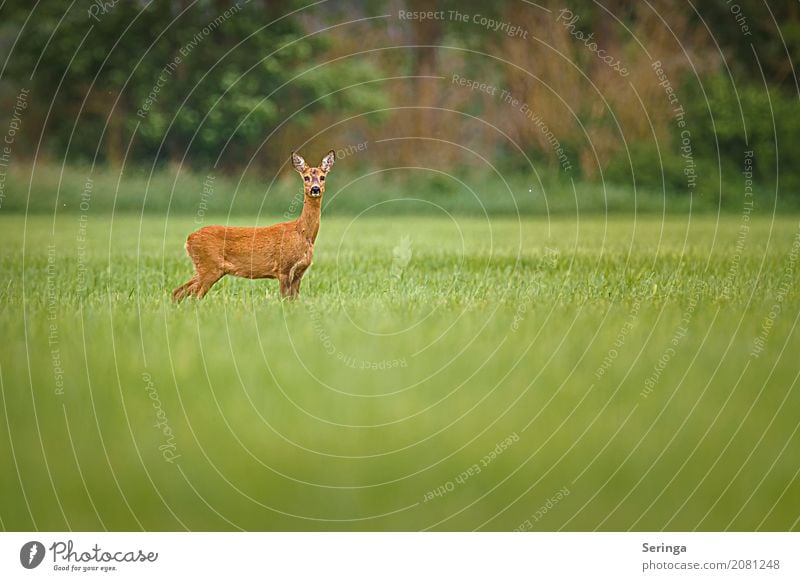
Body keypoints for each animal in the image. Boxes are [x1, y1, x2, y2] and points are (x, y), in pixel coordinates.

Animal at [173, 150, 336, 302]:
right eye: (306, 177)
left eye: (323, 177)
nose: (315, 189)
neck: (302, 233)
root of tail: (189, 239)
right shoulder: (283, 268)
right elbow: (284, 299)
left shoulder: (299, 273)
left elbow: (294, 300)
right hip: (209, 266)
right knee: (193, 296)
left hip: (205, 268)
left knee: (178, 292)